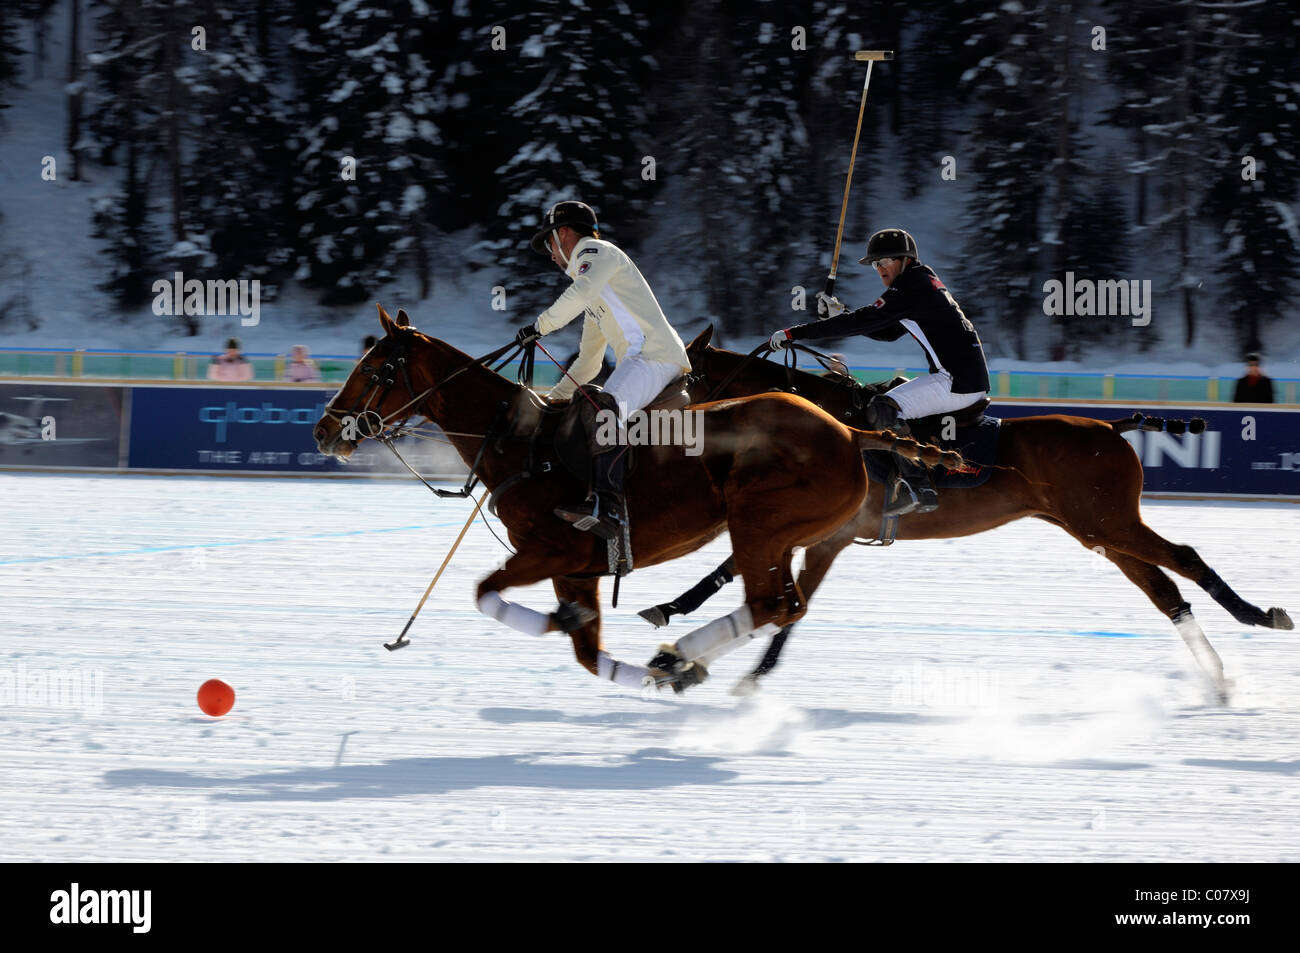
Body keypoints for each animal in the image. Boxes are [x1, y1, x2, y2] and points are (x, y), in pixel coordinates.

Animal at [314, 308, 967, 686]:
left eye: (373, 369)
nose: (323, 430)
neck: (517, 441)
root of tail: (851, 431)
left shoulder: (549, 552)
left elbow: (484, 592)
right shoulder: (576, 568)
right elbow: (584, 650)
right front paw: (593, 639)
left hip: (760, 525)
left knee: (772, 605)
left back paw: (681, 653)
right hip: (783, 535)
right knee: (787, 604)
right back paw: (680, 659)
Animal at [644, 327, 1284, 696]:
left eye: (687, 377)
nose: (651, 419)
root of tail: (1113, 425)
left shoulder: (829, 534)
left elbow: (775, 595)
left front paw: (714, 664)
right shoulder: (822, 535)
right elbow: (756, 584)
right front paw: (681, 621)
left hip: (1111, 521)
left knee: (1186, 557)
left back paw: (1260, 615)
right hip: (1098, 531)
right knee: (1165, 591)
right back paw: (1219, 675)